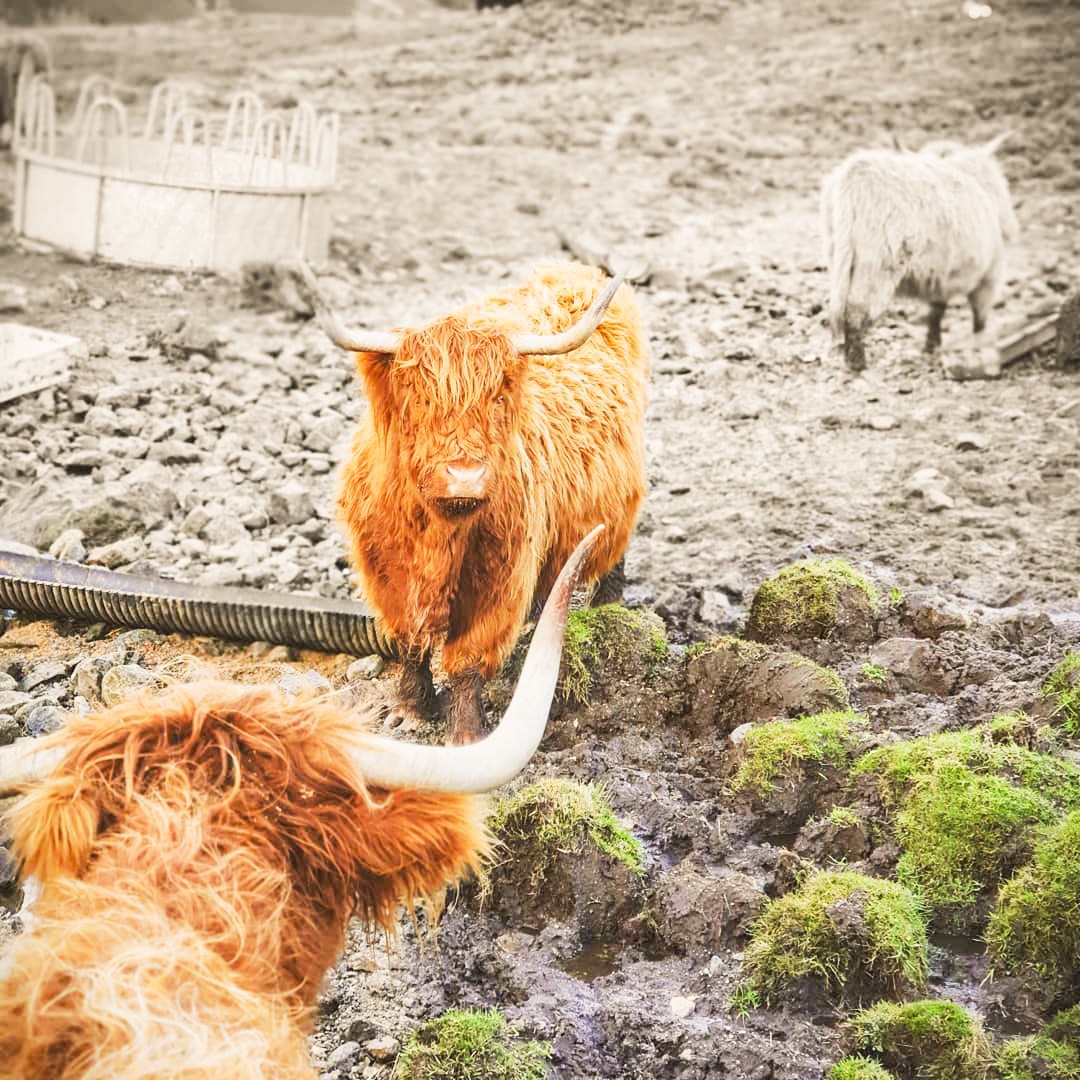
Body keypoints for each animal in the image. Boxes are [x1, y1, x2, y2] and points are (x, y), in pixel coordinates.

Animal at [289, 260, 648, 744]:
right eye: (419, 399)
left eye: (497, 398)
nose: (465, 476)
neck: (441, 534)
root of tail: (569, 270)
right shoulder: (387, 575)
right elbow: (410, 642)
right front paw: (408, 710)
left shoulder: (499, 581)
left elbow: (468, 660)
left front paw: (465, 733)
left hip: (618, 501)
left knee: (612, 553)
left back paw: (606, 611)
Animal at [821, 134, 1019, 375]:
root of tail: (856, 172)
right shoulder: (989, 274)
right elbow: (978, 316)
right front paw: (978, 342)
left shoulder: (942, 274)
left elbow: (937, 310)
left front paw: (931, 345)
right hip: (877, 263)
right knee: (856, 309)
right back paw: (857, 361)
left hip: (841, 256)